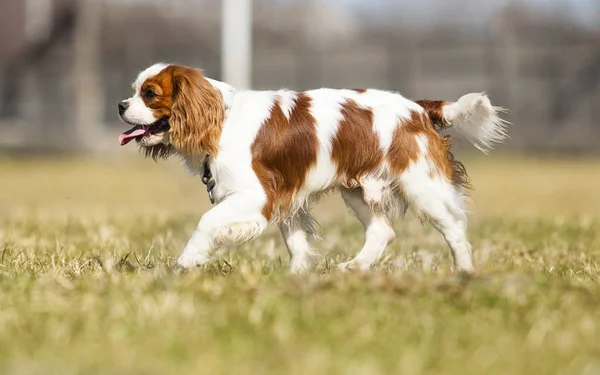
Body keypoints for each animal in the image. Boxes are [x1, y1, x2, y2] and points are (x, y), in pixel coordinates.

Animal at [117, 62, 506, 274]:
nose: (120, 105)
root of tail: (418, 107)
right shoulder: (288, 196)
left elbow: (206, 222)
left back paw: (465, 273)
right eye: (134, 91)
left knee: (454, 227)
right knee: (382, 232)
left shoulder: (257, 196)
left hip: (421, 185)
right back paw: (355, 268)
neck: (221, 118)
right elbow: (298, 245)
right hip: (357, 190)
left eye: (149, 94)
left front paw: (187, 261)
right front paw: (297, 279)